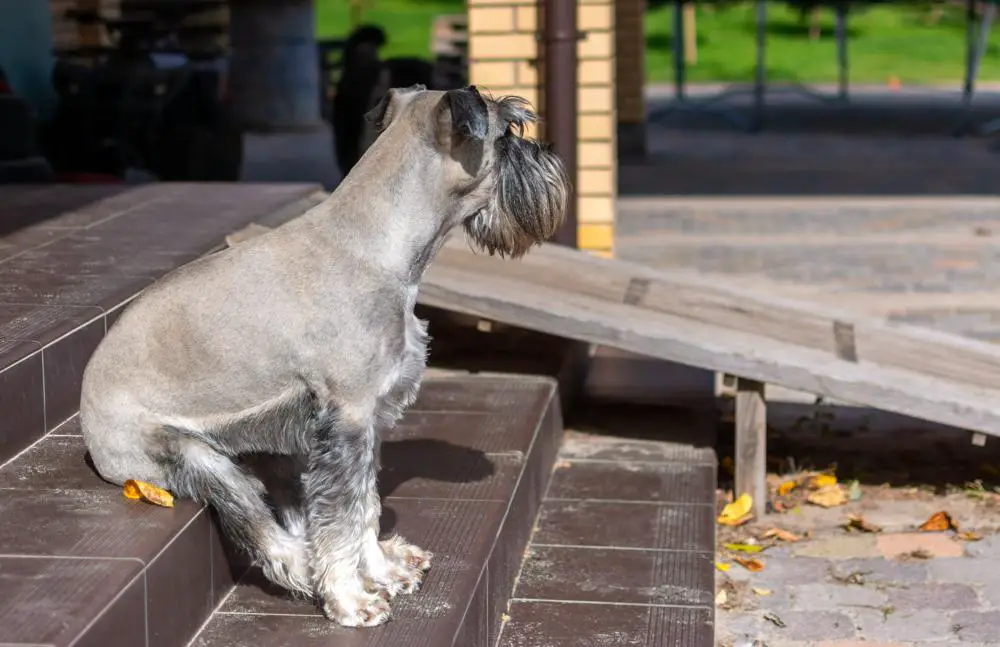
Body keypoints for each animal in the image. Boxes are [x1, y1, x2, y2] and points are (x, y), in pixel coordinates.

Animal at [80, 86, 572, 628]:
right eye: (509, 131)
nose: (551, 154)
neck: (377, 243)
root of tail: (90, 438)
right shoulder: (350, 419)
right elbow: (344, 517)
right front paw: (351, 599)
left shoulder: (363, 423)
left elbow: (364, 506)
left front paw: (381, 569)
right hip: (193, 458)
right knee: (260, 527)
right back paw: (304, 568)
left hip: (278, 448)